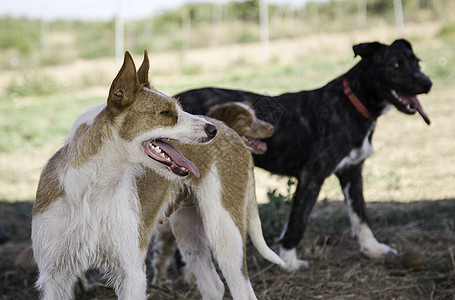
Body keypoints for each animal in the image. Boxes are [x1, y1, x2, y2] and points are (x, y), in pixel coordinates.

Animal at [31, 52, 282, 300]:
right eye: (166, 113)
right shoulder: (55, 278)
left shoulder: (131, 272)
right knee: (214, 285)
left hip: (225, 231)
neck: (93, 190)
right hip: (188, 231)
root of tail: (231, 130)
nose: (212, 130)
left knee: (242, 289)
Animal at [175, 38, 434, 270]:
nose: (427, 83)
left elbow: (361, 215)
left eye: (417, 62)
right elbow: (298, 221)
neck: (351, 104)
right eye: (395, 65)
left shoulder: (352, 172)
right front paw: (289, 262)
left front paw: (373, 249)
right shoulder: (312, 176)